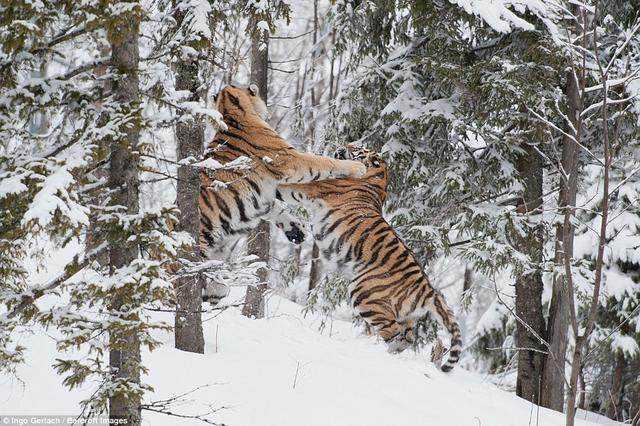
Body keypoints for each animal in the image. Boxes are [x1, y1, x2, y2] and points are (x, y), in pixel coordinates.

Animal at [198, 84, 368, 302]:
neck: (231, 112)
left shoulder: (267, 193)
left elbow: (276, 208)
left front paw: (297, 230)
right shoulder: (291, 159)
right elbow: (324, 162)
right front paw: (357, 167)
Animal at [278, 145, 462, 372]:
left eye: (355, 149)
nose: (341, 147)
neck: (379, 177)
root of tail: (428, 289)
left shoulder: (312, 189)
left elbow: (283, 186)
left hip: (364, 294)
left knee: (393, 333)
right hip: (405, 316)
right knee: (408, 337)